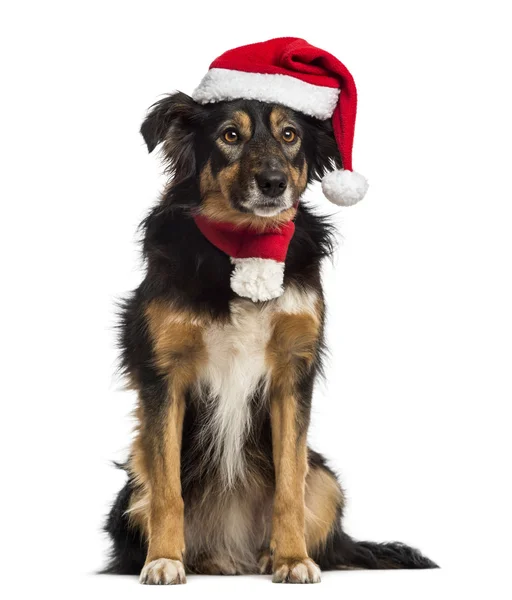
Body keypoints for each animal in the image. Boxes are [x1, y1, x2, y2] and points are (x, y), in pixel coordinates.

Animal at [103, 36, 436, 580]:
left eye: (289, 135)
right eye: (230, 135)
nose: (274, 182)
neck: (246, 246)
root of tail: (228, 549)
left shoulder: (292, 374)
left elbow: (288, 484)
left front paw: (294, 559)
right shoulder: (163, 376)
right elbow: (168, 489)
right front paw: (165, 560)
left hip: (327, 480)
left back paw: (268, 555)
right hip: (132, 485)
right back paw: (192, 558)